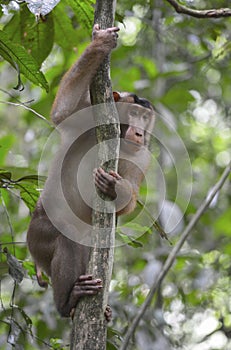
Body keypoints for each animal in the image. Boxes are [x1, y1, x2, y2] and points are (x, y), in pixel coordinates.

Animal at [27, 24, 155, 318]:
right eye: (134, 112)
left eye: (146, 117)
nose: (140, 133)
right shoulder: (88, 114)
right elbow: (63, 112)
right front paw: (100, 45)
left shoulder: (142, 155)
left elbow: (129, 196)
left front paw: (115, 187)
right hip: (37, 236)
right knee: (65, 239)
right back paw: (67, 302)